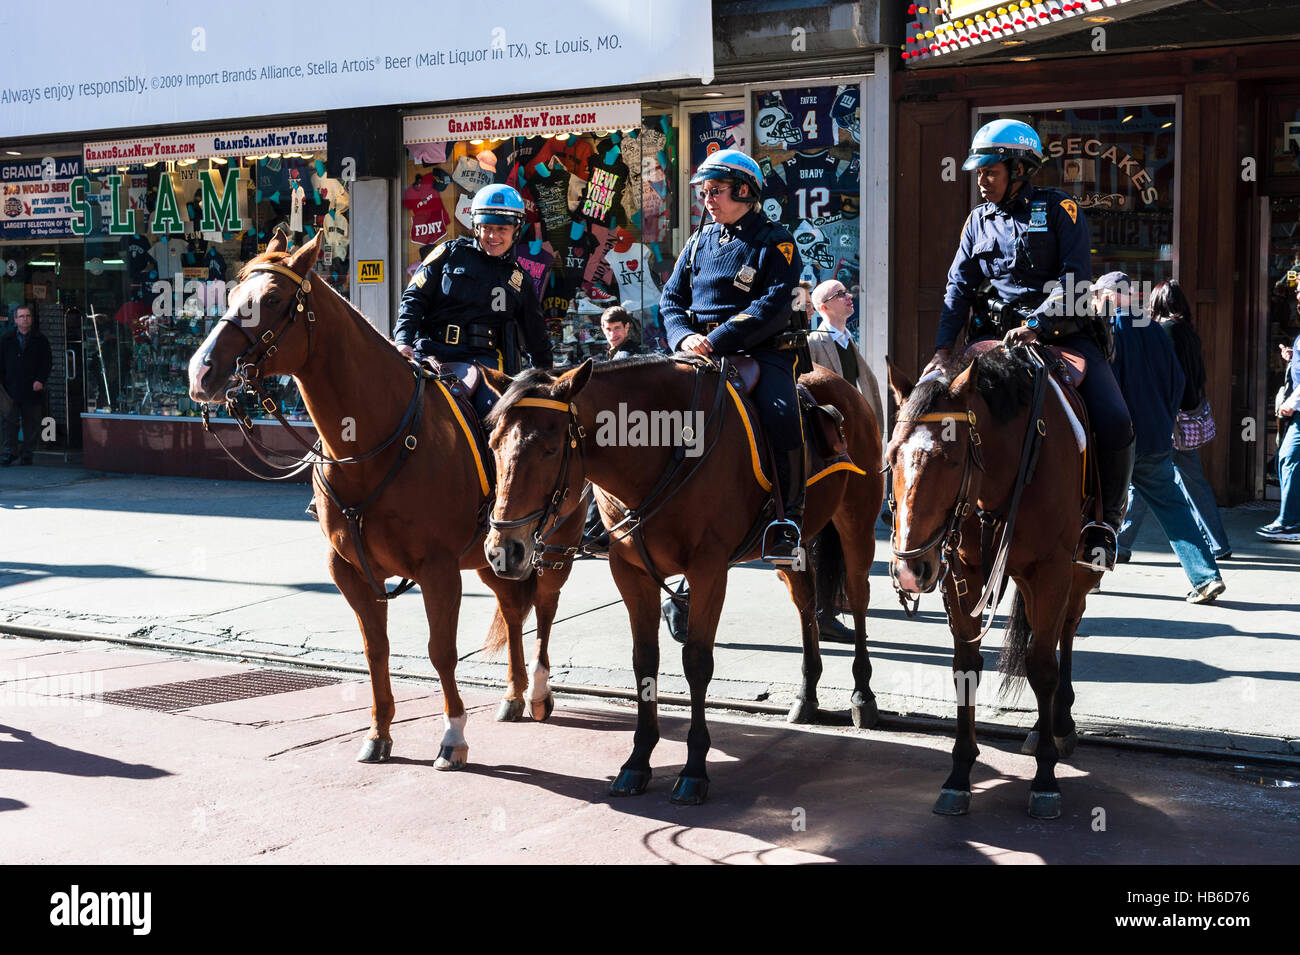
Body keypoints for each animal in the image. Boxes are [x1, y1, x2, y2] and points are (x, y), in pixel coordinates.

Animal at [185, 229, 577, 769]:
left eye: (274, 300)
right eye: (231, 297)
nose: (201, 373)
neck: (372, 442)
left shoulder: (437, 569)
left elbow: (441, 651)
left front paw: (453, 735)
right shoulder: (349, 569)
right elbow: (376, 649)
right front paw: (379, 731)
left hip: (551, 547)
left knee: (543, 606)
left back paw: (537, 691)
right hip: (492, 555)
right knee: (514, 609)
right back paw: (514, 693)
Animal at [478, 356, 883, 805]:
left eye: (550, 449)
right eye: (493, 443)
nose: (503, 549)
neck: (663, 450)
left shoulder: (708, 569)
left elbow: (697, 662)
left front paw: (694, 769)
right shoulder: (631, 572)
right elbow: (644, 661)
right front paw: (637, 761)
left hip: (857, 519)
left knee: (859, 597)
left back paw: (862, 695)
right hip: (787, 546)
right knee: (806, 599)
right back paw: (806, 695)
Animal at [883, 345, 1097, 821]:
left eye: (951, 459)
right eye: (890, 456)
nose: (910, 569)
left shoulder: (1052, 569)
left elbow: (1042, 668)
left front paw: (1045, 781)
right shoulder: (962, 572)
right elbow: (965, 667)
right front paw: (959, 775)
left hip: (1078, 571)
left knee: (1067, 630)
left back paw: (1060, 723)